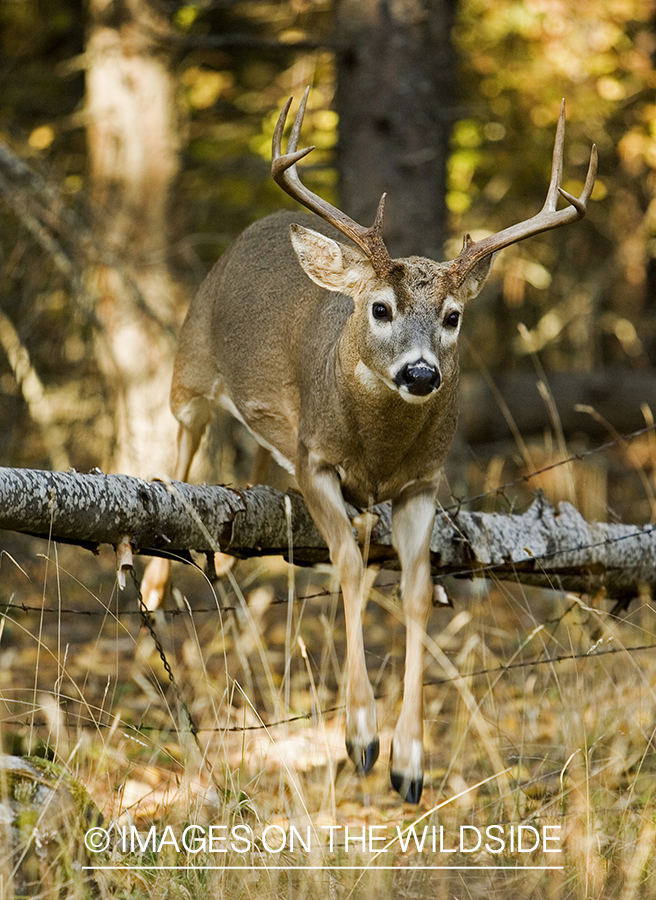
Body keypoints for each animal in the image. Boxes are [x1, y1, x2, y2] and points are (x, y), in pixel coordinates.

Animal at [144, 91, 600, 800]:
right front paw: (359, 736)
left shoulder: (423, 482)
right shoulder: (316, 458)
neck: (378, 454)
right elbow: (352, 571)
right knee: (182, 452)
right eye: (381, 308)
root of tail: (258, 227)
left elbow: (414, 592)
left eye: (453, 317)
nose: (421, 373)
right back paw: (154, 591)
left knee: (251, 469)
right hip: (189, 370)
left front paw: (408, 762)